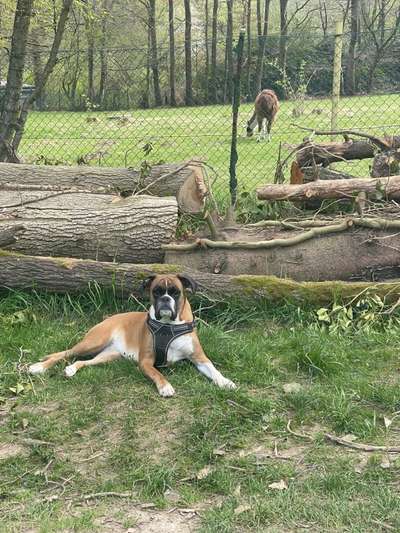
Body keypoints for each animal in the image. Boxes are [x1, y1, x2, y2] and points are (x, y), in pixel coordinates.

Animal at [28, 274, 238, 394]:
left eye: (176, 292)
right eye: (156, 291)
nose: (165, 299)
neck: (168, 326)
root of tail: (109, 318)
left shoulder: (199, 358)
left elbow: (213, 370)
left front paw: (225, 382)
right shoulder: (145, 362)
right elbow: (157, 373)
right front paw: (165, 387)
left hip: (108, 355)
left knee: (81, 361)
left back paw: (71, 369)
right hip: (93, 342)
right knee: (65, 353)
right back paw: (38, 367)